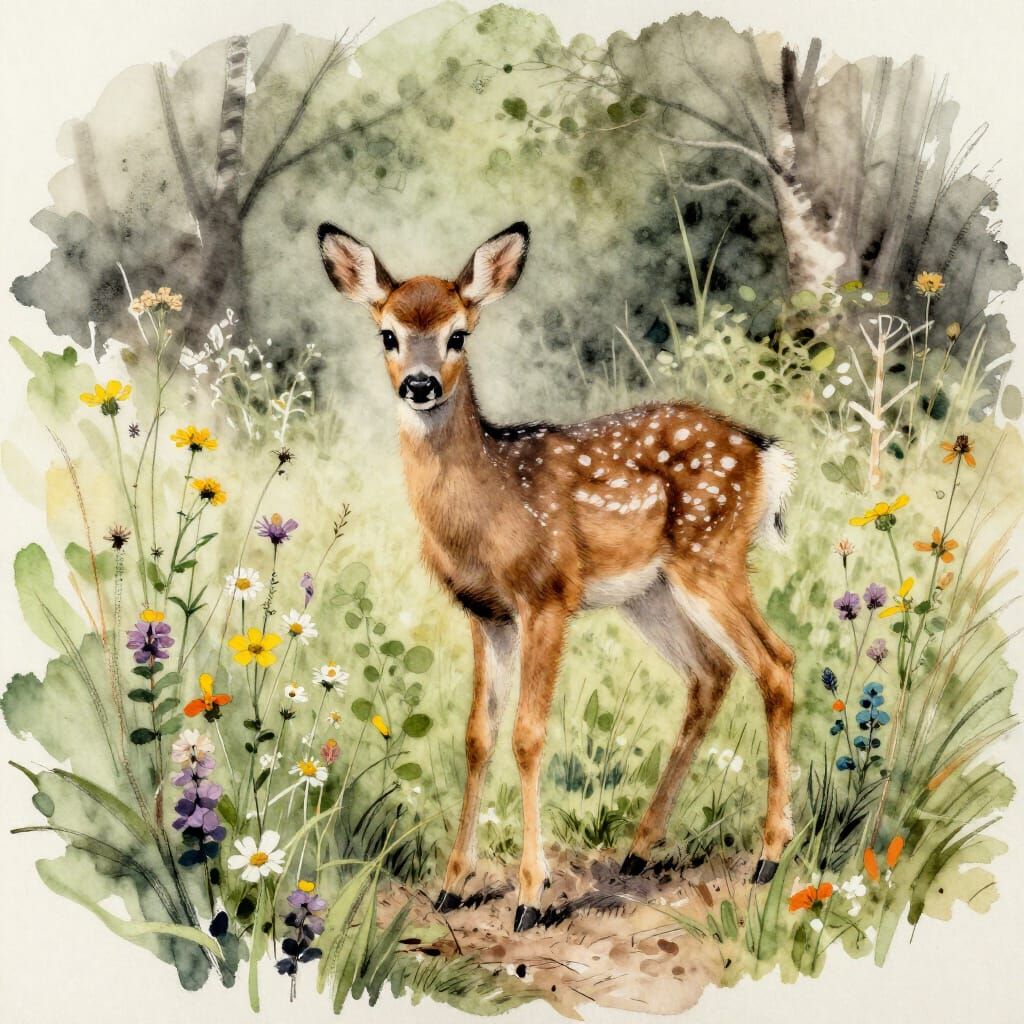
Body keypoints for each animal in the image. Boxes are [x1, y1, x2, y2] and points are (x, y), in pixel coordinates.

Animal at [318, 220, 796, 932]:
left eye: (458, 334)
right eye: (388, 335)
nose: (421, 385)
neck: (487, 504)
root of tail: (765, 454)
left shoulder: (546, 594)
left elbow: (527, 736)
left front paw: (529, 894)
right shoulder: (486, 613)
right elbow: (478, 737)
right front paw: (452, 885)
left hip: (711, 555)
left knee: (776, 663)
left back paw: (769, 854)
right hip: (651, 593)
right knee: (713, 673)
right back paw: (638, 850)